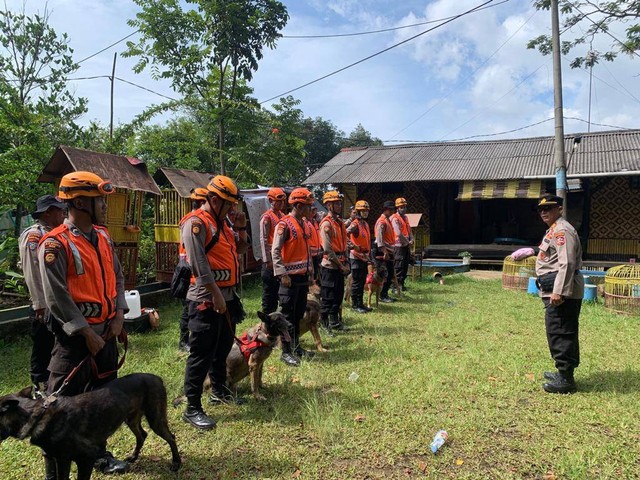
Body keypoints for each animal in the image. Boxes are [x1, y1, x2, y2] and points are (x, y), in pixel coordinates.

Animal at [0, 374, 180, 478]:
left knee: (171, 437)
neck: (36, 415)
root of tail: (157, 378)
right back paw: (134, 457)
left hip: (155, 418)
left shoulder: (85, 459)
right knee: (142, 435)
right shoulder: (62, 460)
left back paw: (176, 463)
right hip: (131, 419)